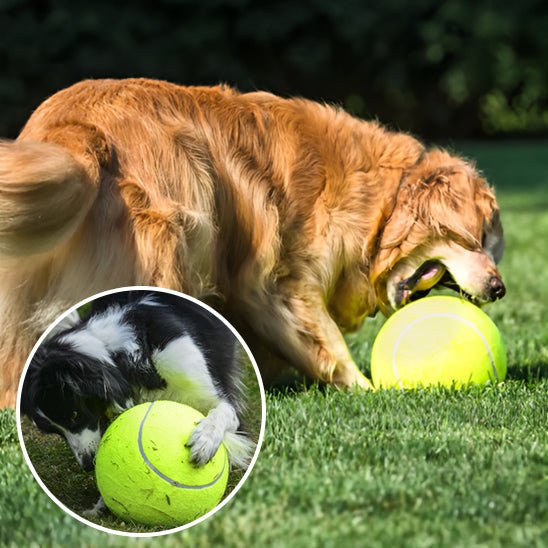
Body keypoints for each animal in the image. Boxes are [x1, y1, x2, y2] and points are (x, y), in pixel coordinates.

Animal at [0, 80, 506, 406]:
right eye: (479, 238)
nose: (500, 289)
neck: (379, 198)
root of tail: (73, 127)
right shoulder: (279, 279)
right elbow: (325, 342)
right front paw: (369, 389)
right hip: (171, 242)